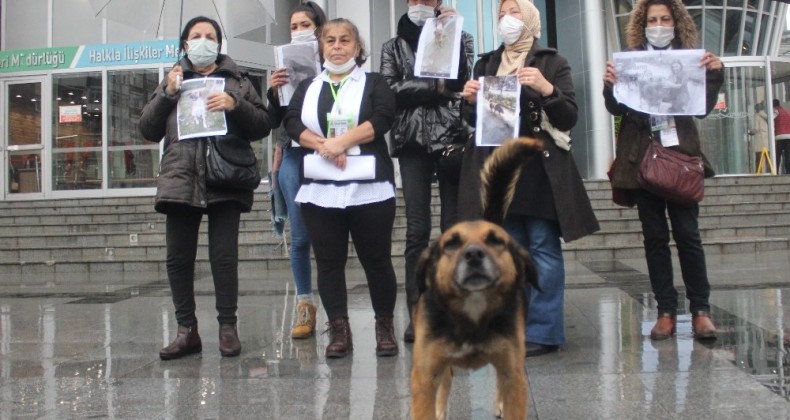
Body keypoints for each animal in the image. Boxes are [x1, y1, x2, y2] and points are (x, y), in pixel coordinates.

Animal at [412, 136, 548, 418]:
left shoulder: (513, 373)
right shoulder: (424, 375)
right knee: (447, 379)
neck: (472, 310)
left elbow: (509, 388)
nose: (474, 254)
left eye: (496, 241)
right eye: (452, 244)